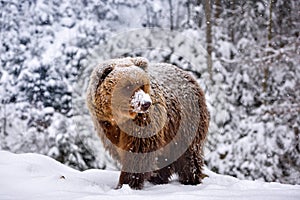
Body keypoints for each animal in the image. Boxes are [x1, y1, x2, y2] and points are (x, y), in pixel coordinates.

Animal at [85, 57, 210, 190]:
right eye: (127, 86)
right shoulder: (107, 126)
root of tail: (190, 77)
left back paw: (190, 179)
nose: (145, 103)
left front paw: (127, 183)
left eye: (143, 85)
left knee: (188, 154)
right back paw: (158, 178)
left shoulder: (142, 123)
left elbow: (138, 152)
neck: (119, 118)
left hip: (186, 122)